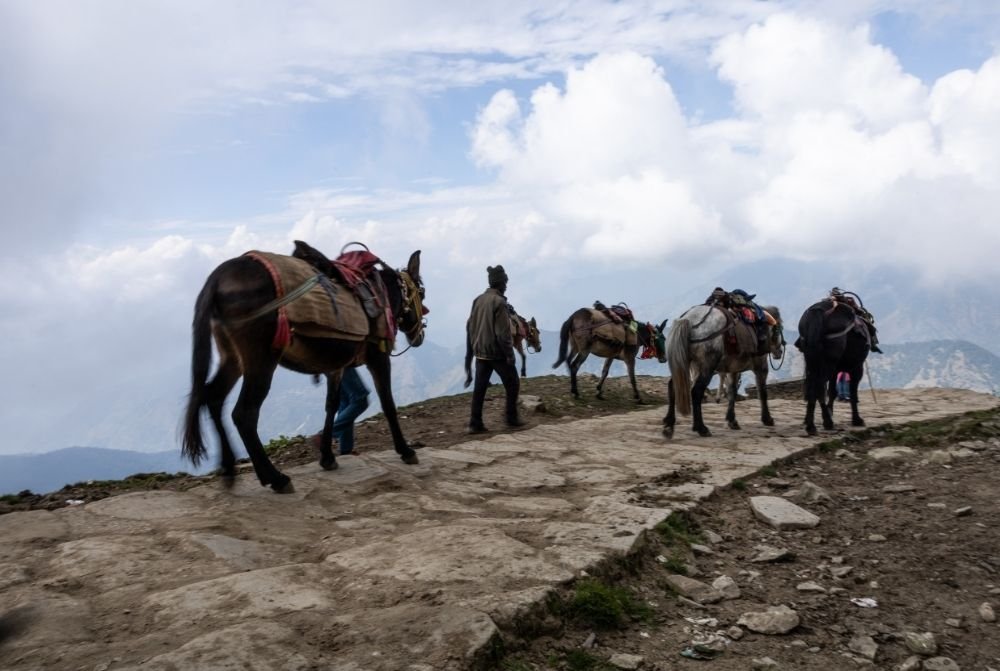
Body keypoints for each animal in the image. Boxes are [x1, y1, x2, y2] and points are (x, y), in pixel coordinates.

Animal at [184, 243, 426, 494]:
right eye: (422, 293)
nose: (419, 336)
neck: (383, 294)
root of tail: (218, 277)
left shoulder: (336, 367)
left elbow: (332, 406)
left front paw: (327, 457)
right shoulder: (378, 358)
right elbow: (388, 403)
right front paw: (406, 451)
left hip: (232, 358)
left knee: (213, 398)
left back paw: (229, 469)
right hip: (261, 360)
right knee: (244, 413)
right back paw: (276, 478)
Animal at [668, 306, 784, 440]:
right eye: (779, 329)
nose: (780, 352)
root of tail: (688, 319)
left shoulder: (733, 370)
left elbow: (732, 391)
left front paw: (731, 420)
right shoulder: (761, 367)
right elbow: (762, 392)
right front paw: (767, 419)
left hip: (684, 361)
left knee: (673, 386)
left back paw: (668, 426)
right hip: (706, 366)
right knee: (696, 391)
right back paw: (701, 428)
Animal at [796, 300, 868, 436]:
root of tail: (817, 311)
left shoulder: (835, 370)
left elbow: (832, 391)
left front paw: (830, 412)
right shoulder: (856, 367)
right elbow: (852, 392)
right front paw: (857, 419)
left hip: (812, 360)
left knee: (812, 386)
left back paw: (811, 423)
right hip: (829, 363)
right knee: (819, 387)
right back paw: (825, 422)